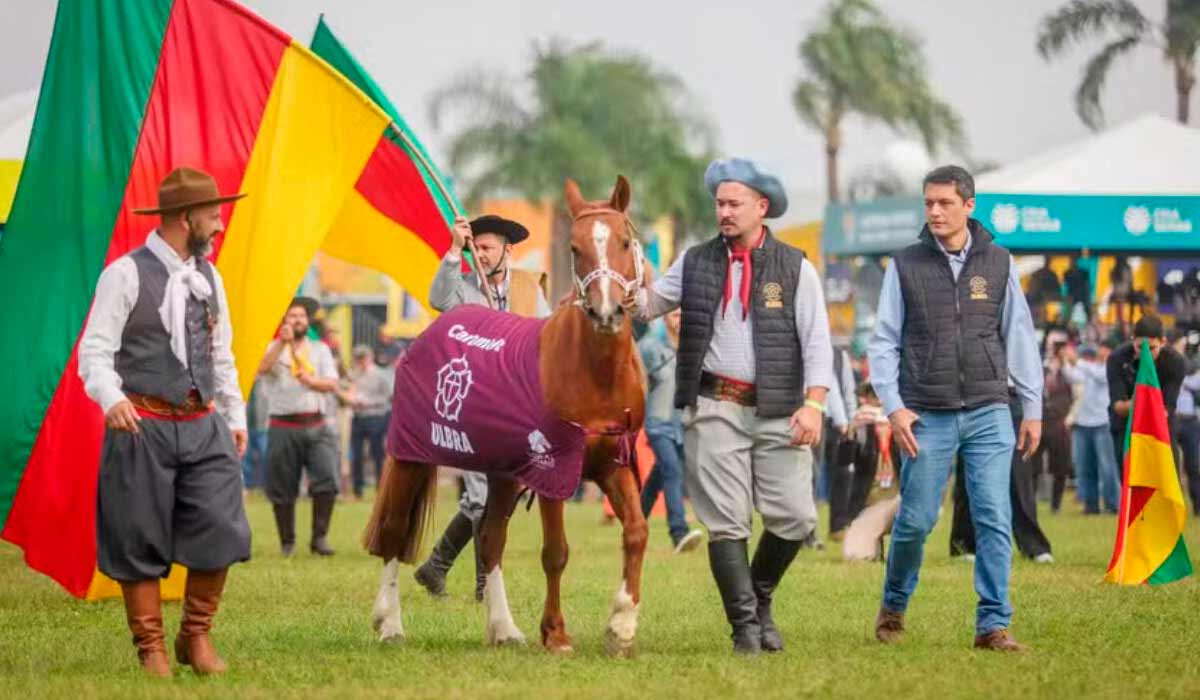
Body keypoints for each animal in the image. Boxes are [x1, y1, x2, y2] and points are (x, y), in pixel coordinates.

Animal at [362, 175, 648, 657]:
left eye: (625, 242)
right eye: (574, 248)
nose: (605, 311)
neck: (595, 373)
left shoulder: (615, 463)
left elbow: (636, 532)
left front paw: (621, 628)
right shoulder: (553, 471)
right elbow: (556, 552)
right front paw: (556, 634)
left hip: (501, 473)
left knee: (492, 537)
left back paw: (503, 627)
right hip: (410, 456)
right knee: (395, 531)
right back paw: (389, 624)